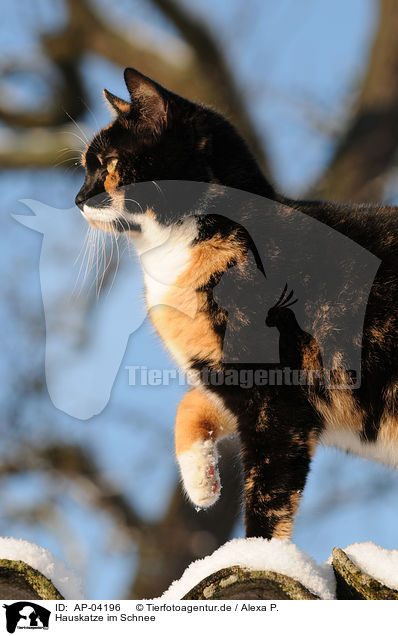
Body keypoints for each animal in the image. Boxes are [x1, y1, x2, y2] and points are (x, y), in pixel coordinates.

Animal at [75, 67, 398, 540]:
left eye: (110, 163)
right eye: (85, 168)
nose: (78, 199)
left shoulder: (278, 398)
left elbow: (267, 497)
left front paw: (257, 552)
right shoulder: (225, 378)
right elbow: (189, 404)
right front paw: (202, 483)